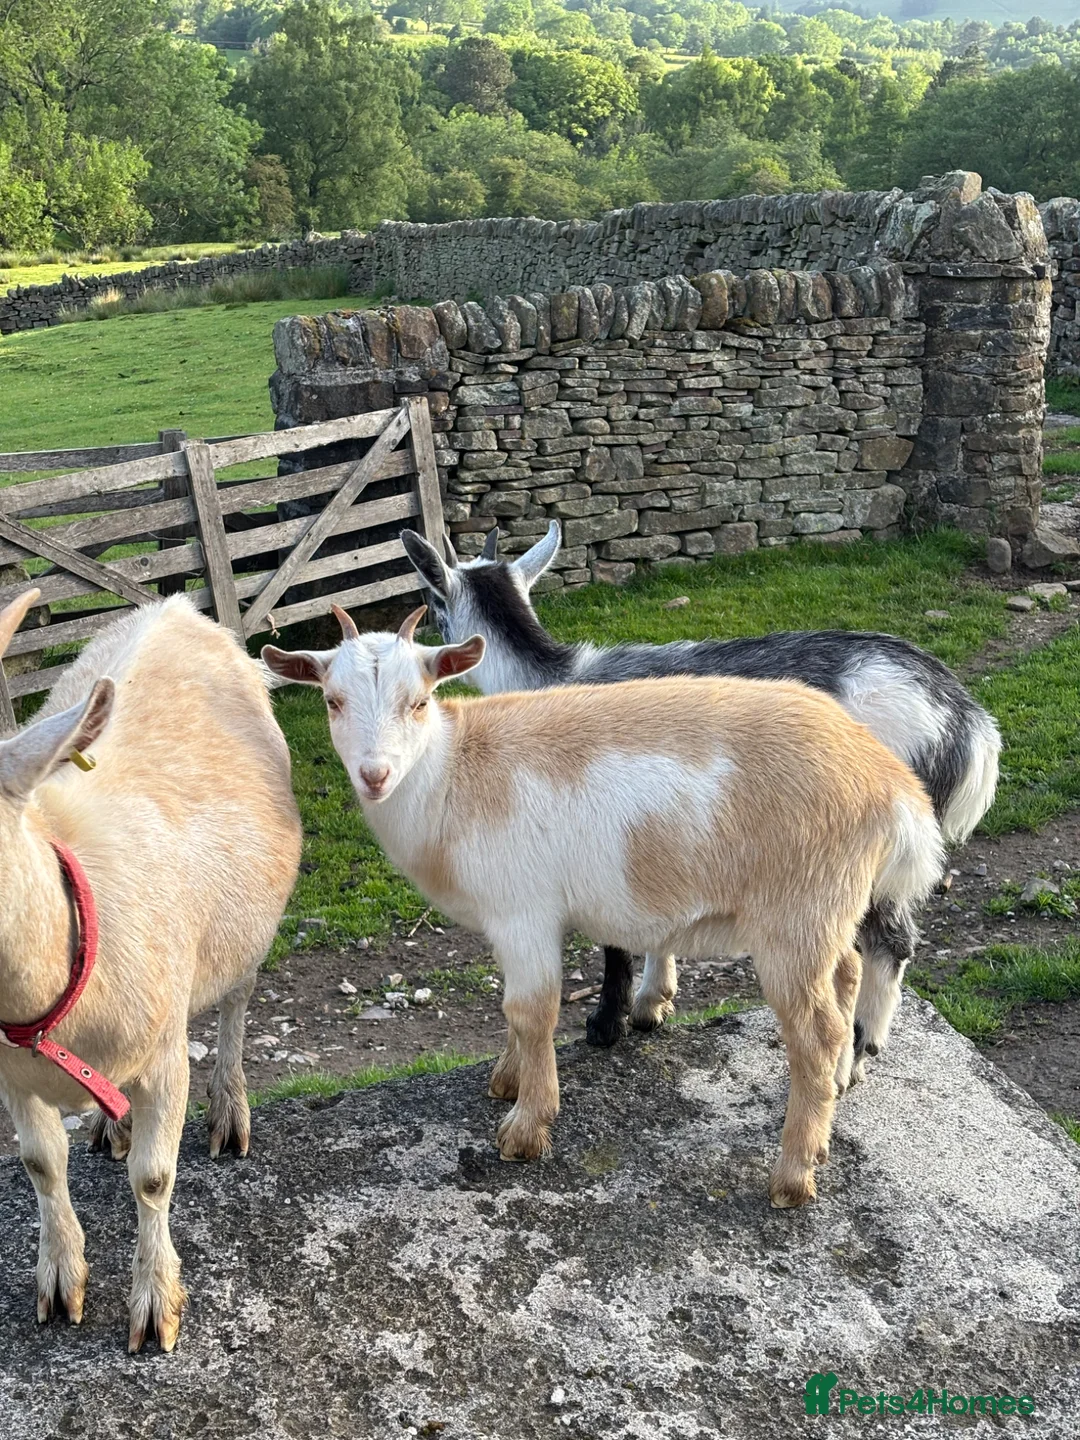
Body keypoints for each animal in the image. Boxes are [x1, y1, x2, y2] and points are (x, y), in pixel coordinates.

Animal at [0, 591, 301, 1352]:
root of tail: (176, 606)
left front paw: (155, 1303)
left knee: (236, 1004)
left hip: (246, 930)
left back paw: (228, 1111)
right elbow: (41, 1162)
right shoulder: (12, 1077)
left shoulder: (165, 1055)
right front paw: (58, 1281)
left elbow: (155, 1178)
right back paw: (114, 1126)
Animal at [263, 605, 944, 1207]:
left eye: (420, 701)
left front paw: (526, 1127)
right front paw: (507, 1079)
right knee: (848, 971)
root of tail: (891, 784)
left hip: (795, 916)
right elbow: (512, 1009)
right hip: (828, 908)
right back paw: (837, 1096)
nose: (374, 774)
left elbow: (531, 1010)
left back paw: (794, 1173)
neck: (451, 775)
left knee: (817, 1032)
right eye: (332, 700)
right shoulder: (509, 922)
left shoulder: (524, 910)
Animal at [400, 523, 999, 1066]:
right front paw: (653, 1002)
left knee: (890, 940)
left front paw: (607, 1023)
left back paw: (862, 1044)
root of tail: (962, 719)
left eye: (432, 599)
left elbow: (614, 940)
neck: (550, 680)